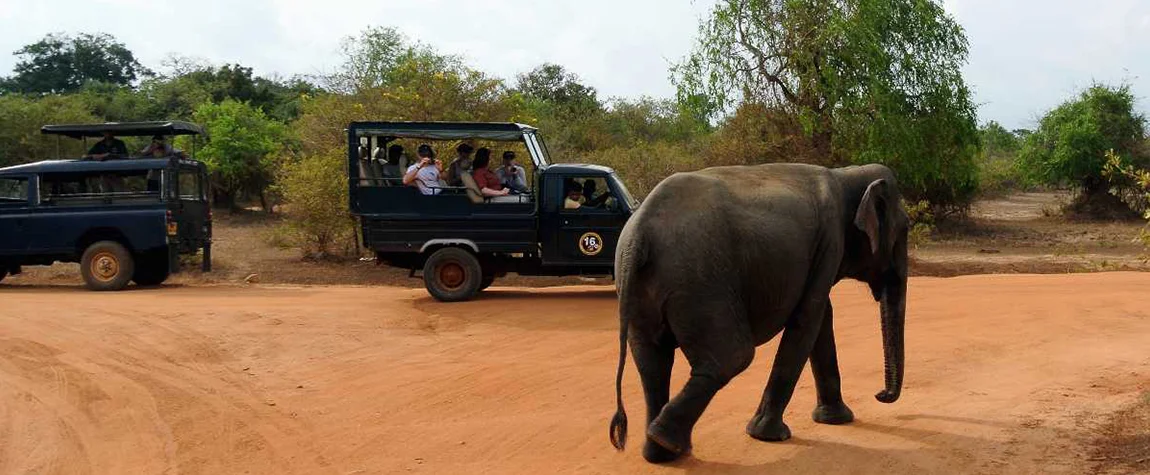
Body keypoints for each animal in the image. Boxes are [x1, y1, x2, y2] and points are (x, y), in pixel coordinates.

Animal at [607, 161, 910, 460]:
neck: (845, 174)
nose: (880, 395)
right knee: (732, 357)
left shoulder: (822, 250)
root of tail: (639, 235)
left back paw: (660, 452)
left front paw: (835, 419)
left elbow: (821, 316)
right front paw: (769, 436)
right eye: (905, 229)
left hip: (644, 288)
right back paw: (666, 441)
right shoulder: (830, 241)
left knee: (652, 362)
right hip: (700, 283)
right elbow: (809, 319)